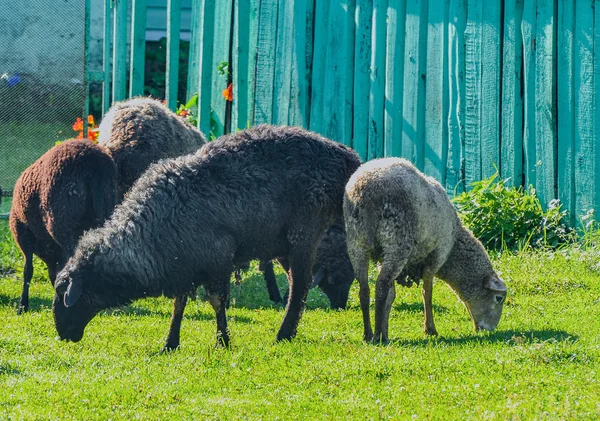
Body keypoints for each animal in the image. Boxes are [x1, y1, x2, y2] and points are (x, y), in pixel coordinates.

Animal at [8, 139, 117, 314]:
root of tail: (94, 163)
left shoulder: (21, 233)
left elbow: (27, 270)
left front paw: (22, 305)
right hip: (106, 207)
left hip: (65, 221)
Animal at [51, 124, 360, 348]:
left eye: (67, 294)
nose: (63, 334)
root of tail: (347, 156)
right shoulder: (184, 264)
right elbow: (179, 304)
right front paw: (170, 343)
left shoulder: (218, 259)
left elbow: (216, 301)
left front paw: (223, 341)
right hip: (283, 242)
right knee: (299, 282)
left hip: (304, 230)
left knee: (300, 286)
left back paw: (283, 334)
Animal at [342, 157, 506, 342]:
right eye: (499, 298)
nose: (490, 330)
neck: (455, 244)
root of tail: (366, 190)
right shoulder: (437, 255)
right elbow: (427, 292)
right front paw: (430, 329)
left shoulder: (382, 259)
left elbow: (392, 296)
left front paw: (386, 331)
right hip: (397, 241)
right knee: (381, 286)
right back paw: (376, 335)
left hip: (357, 241)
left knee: (364, 289)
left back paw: (368, 334)